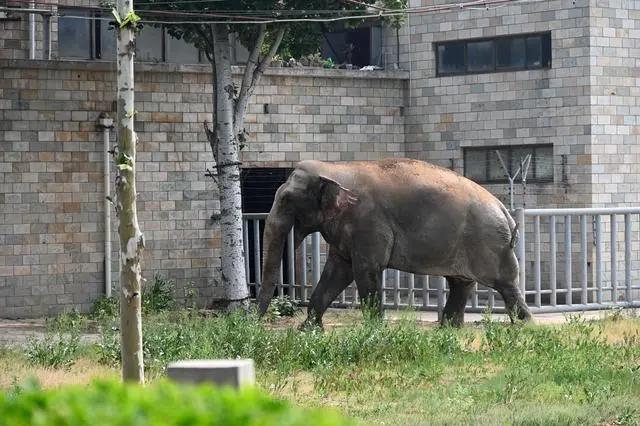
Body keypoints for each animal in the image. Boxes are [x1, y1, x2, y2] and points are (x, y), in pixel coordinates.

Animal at [258, 158, 532, 328]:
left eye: (286, 199)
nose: (256, 325)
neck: (335, 169)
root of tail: (504, 210)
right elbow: (338, 271)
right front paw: (308, 331)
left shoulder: (368, 223)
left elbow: (364, 270)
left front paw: (374, 331)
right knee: (461, 283)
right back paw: (448, 330)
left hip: (489, 243)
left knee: (505, 284)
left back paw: (523, 327)